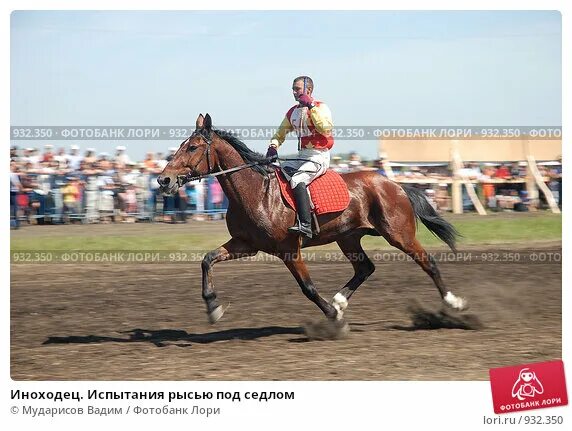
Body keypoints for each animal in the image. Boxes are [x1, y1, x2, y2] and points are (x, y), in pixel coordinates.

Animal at [159, 114, 466, 324]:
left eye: (193, 147)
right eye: (182, 145)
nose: (164, 180)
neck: (256, 191)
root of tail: (396, 184)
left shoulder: (289, 249)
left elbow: (307, 287)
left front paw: (333, 316)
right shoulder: (246, 244)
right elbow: (207, 259)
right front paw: (213, 306)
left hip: (399, 234)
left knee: (428, 263)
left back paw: (454, 302)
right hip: (349, 238)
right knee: (365, 268)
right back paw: (340, 300)